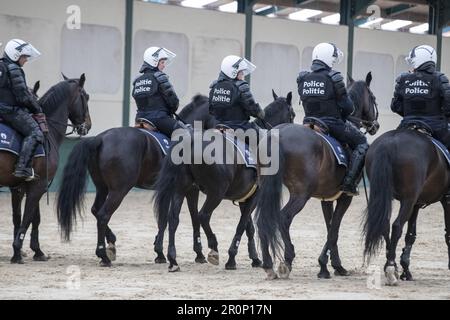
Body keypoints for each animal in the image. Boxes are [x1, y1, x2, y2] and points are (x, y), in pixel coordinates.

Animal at [0, 75, 91, 262]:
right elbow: (29, 218)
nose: (88, 125)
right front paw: (19, 252)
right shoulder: (39, 185)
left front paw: (33, 251)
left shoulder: (22, 187)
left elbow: (24, 218)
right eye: (86, 97)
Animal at [55, 95, 217, 268]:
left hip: (102, 188)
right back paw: (104, 255)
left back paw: (109, 245)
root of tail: (101, 138)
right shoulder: (191, 189)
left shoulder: (168, 190)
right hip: (119, 190)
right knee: (103, 215)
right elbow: (193, 218)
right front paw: (199, 253)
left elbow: (163, 218)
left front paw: (160, 253)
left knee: (96, 211)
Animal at [155, 90, 296, 272]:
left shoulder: (245, 199)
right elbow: (242, 225)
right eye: (292, 114)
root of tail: (191, 141)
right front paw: (232, 258)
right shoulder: (253, 198)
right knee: (203, 215)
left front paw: (254, 258)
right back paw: (213, 247)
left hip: (181, 189)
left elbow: (248, 227)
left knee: (173, 219)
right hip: (215, 193)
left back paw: (173, 259)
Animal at [255, 73, 378, 280]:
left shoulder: (326, 198)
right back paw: (287, 259)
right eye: (374, 98)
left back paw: (268, 264)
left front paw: (328, 266)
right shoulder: (345, 197)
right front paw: (333, 266)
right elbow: (334, 229)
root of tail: (277, 135)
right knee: (283, 218)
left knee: (263, 220)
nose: (375, 125)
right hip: (300, 194)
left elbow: (329, 228)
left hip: (266, 190)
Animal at [364, 125, 448, 284]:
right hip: (407, 199)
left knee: (385, 225)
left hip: (389, 197)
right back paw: (391, 269)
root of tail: (390, 142)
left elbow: (410, 235)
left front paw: (406, 270)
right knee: (397, 226)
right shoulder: (446, 199)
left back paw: (392, 267)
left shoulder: (416, 204)